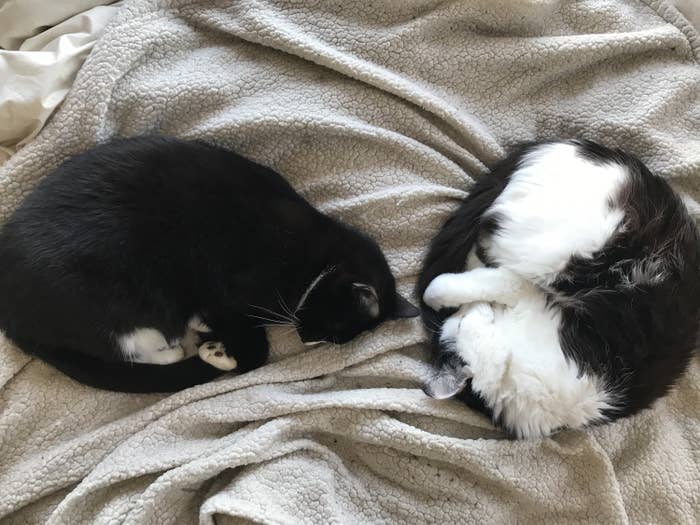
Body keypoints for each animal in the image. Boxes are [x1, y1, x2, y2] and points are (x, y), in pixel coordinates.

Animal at [0, 136, 416, 392]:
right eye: (332, 330)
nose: (304, 338)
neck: (315, 257)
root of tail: (13, 319)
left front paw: (212, 340)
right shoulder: (229, 285)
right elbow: (257, 351)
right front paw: (219, 352)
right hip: (118, 298)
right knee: (130, 347)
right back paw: (179, 347)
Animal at [418, 138, 696, 438]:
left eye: (458, 323)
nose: (458, 313)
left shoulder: (524, 291)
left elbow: (472, 281)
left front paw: (435, 294)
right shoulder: (524, 290)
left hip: (551, 256)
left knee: (485, 237)